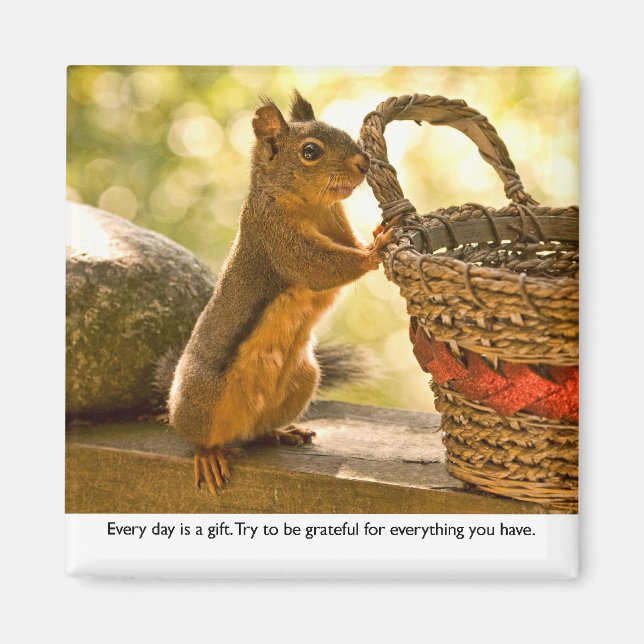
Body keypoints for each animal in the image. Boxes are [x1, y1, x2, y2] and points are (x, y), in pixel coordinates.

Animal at [167, 91, 393, 493]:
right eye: (310, 151)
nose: (364, 162)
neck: (312, 205)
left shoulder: (337, 223)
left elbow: (346, 247)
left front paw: (378, 231)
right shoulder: (278, 240)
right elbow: (323, 267)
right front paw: (375, 248)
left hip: (303, 380)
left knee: (258, 430)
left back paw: (283, 432)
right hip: (202, 400)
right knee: (203, 438)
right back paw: (209, 455)